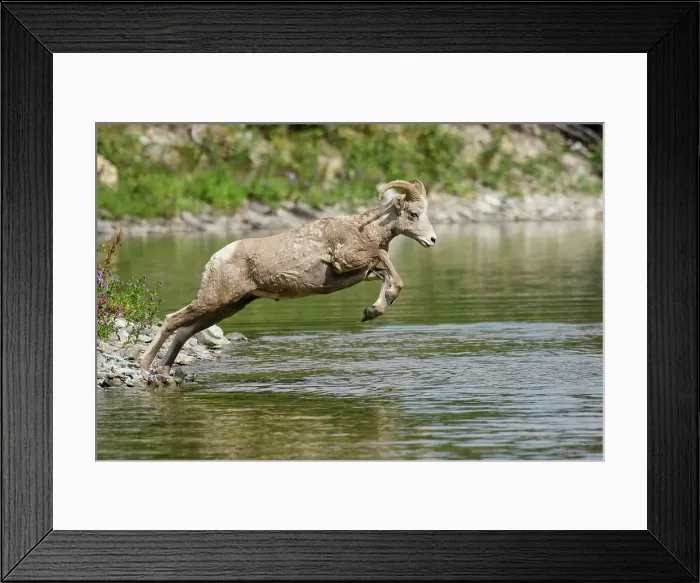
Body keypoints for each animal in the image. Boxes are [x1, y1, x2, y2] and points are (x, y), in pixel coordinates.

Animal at [140, 179, 437, 375]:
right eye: (413, 214)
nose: (432, 240)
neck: (364, 229)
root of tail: (216, 258)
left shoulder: (365, 271)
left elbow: (390, 277)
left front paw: (372, 311)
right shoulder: (347, 261)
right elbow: (384, 258)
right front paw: (372, 310)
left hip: (227, 306)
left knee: (184, 331)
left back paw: (164, 372)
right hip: (213, 300)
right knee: (172, 320)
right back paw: (144, 365)